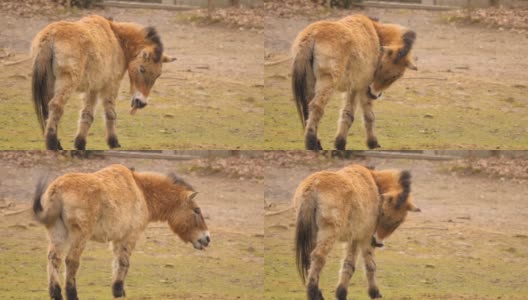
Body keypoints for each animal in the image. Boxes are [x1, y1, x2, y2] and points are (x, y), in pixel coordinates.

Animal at [31, 14, 175, 150]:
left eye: (158, 75)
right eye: (142, 69)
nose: (141, 103)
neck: (117, 38)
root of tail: (51, 35)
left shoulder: (93, 88)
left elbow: (87, 115)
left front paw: (80, 144)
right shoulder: (111, 85)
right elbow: (110, 113)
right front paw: (113, 143)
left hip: (50, 84)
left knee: (47, 109)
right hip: (67, 82)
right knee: (56, 106)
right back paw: (52, 144)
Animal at [31, 165, 210, 298]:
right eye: (197, 210)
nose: (207, 239)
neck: (141, 190)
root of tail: (57, 188)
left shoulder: (117, 239)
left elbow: (117, 262)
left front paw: (117, 290)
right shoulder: (129, 237)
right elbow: (124, 262)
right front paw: (118, 291)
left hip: (57, 234)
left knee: (54, 259)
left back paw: (56, 294)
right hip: (79, 236)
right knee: (71, 261)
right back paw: (72, 295)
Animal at [292, 14, 416, 150]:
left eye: (396, 76)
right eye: (381, 66)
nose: (374, 94)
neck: (376, 35)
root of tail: (313, 33)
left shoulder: (353, 88)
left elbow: (348, 114)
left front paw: (340, 143)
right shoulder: (362, 87)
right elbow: (368, 116)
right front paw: (372, 143)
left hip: (311, 84)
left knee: (307, 109)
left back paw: (316, 142)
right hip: (327, 83)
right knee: (316, 107)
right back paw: (311, 143)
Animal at [292, 165, 420, 298]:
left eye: (399, 221)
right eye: (382, 213)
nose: (378, 242)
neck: (375, 184)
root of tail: (313, 186)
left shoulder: (354, 239)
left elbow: (349, 265)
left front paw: (341, 293)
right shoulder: (366, 238)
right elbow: (370, 265)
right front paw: (374, 293)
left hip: (313, 234)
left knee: (309, 259)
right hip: (329, 233)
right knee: (318, 256)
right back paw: (314, 294)